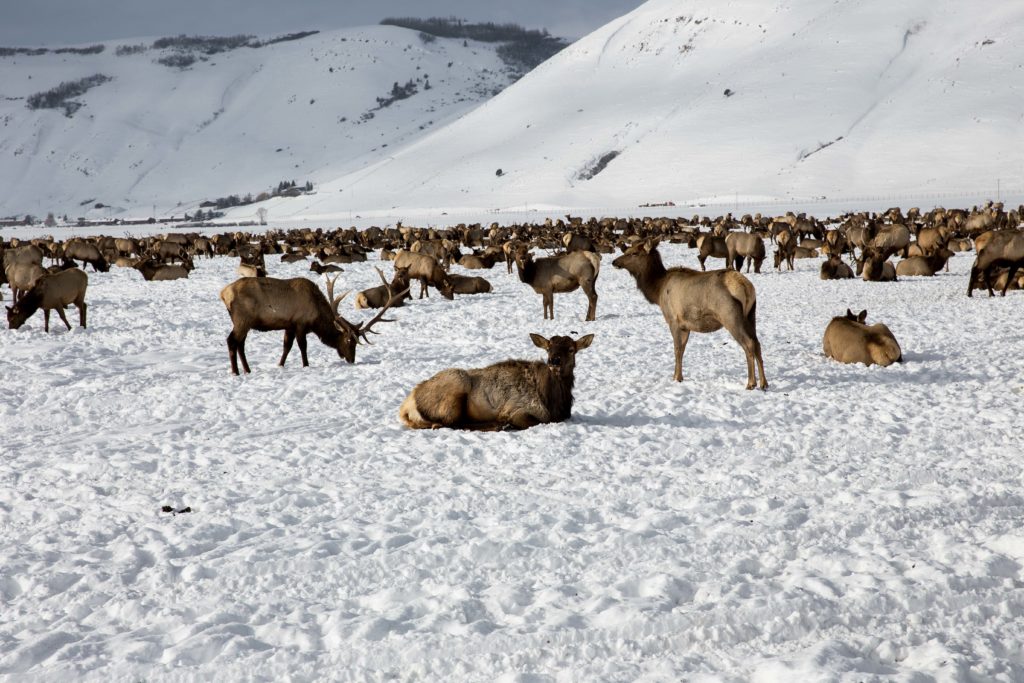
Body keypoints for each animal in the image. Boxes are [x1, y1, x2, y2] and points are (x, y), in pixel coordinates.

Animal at [222, 274, 405, 376]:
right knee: (231, 341)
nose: (352, 360)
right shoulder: (300, 324)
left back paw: (247, 370)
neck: (317, 318)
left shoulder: (289, 325)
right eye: (349, 341)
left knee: (240, 344)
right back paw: (235, 372)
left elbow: (286, 346)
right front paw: (306, 365)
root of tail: (223, 293)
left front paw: (280, 365)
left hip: (244, 322)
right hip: (242, 319)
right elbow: (302, 346)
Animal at [397, 333, 598, 430]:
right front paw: (505, 422)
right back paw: (497, 425)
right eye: (548, 348)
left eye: (571, 349)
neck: (555, 402)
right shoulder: (518, 409)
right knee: (450, 423)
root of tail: (405, 407)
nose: (554, 361)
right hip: (458, 381)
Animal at [610, 240, 765, 389]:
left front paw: (676, 378)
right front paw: (678, 376)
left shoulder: (674, 320)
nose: (614, 262)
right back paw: (764, 383)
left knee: (749, 343)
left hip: (730, 316)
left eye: (634, 253)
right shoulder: (685, 325)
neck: (657, 290)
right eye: (626, 250)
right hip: (751, 315)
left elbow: (677, 349)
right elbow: (683, 349)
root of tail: (746, 286)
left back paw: (751, 383)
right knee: (757, 343)